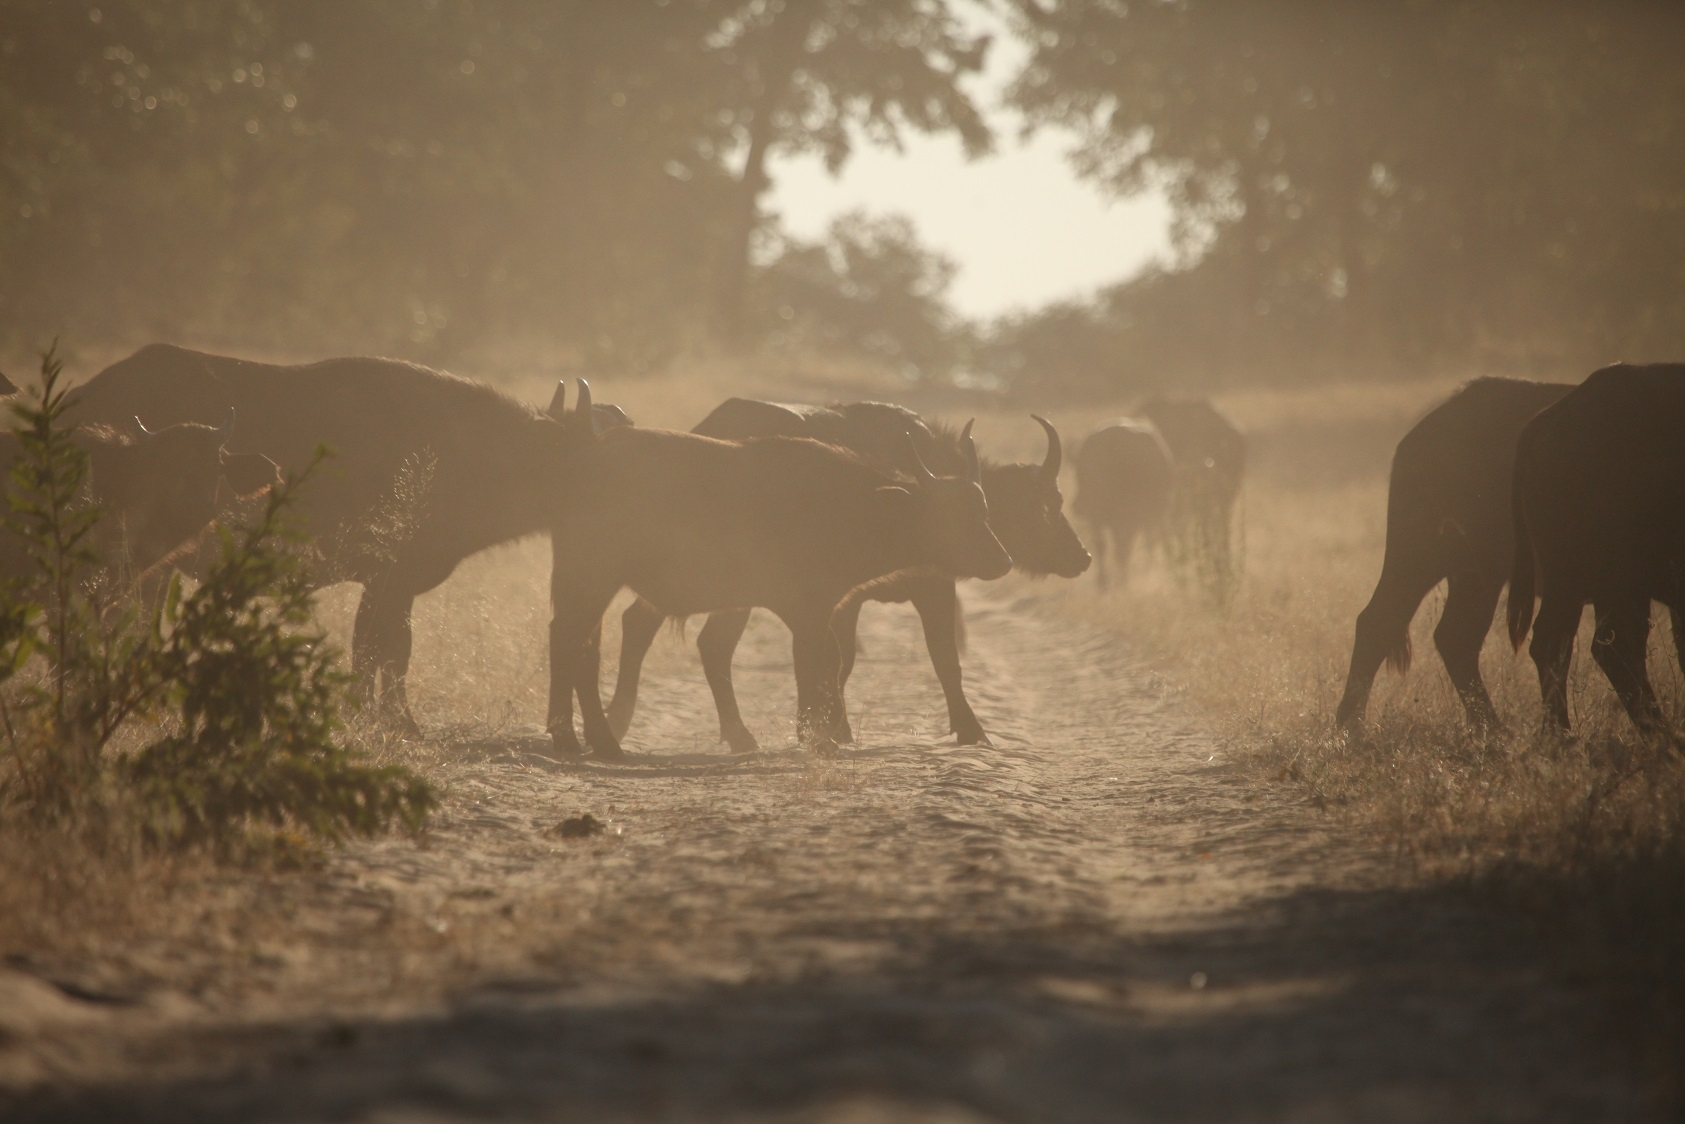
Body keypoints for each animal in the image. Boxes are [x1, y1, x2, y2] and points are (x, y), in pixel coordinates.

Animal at [64, 344, 627, 731]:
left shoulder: (383, 582)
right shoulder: (391, 575)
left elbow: (371, 648)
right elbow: (392, 649)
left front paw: (371, 714)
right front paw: (399, 722)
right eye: (583, 457)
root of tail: (81, 396)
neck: (459, 452)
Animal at [546, 386, 1013, 760]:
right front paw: (819, 739)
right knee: (576, 643)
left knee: (578, 643)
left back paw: (580, 736)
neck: (850, 506)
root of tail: (579, 464)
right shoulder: (808, 610)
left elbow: (830, 662)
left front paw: (821, 732)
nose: (1002, 560)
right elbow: (813, 666)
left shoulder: (823, 609)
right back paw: (595, 740)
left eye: (984, 512)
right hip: (593, 577)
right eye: (949, 518)